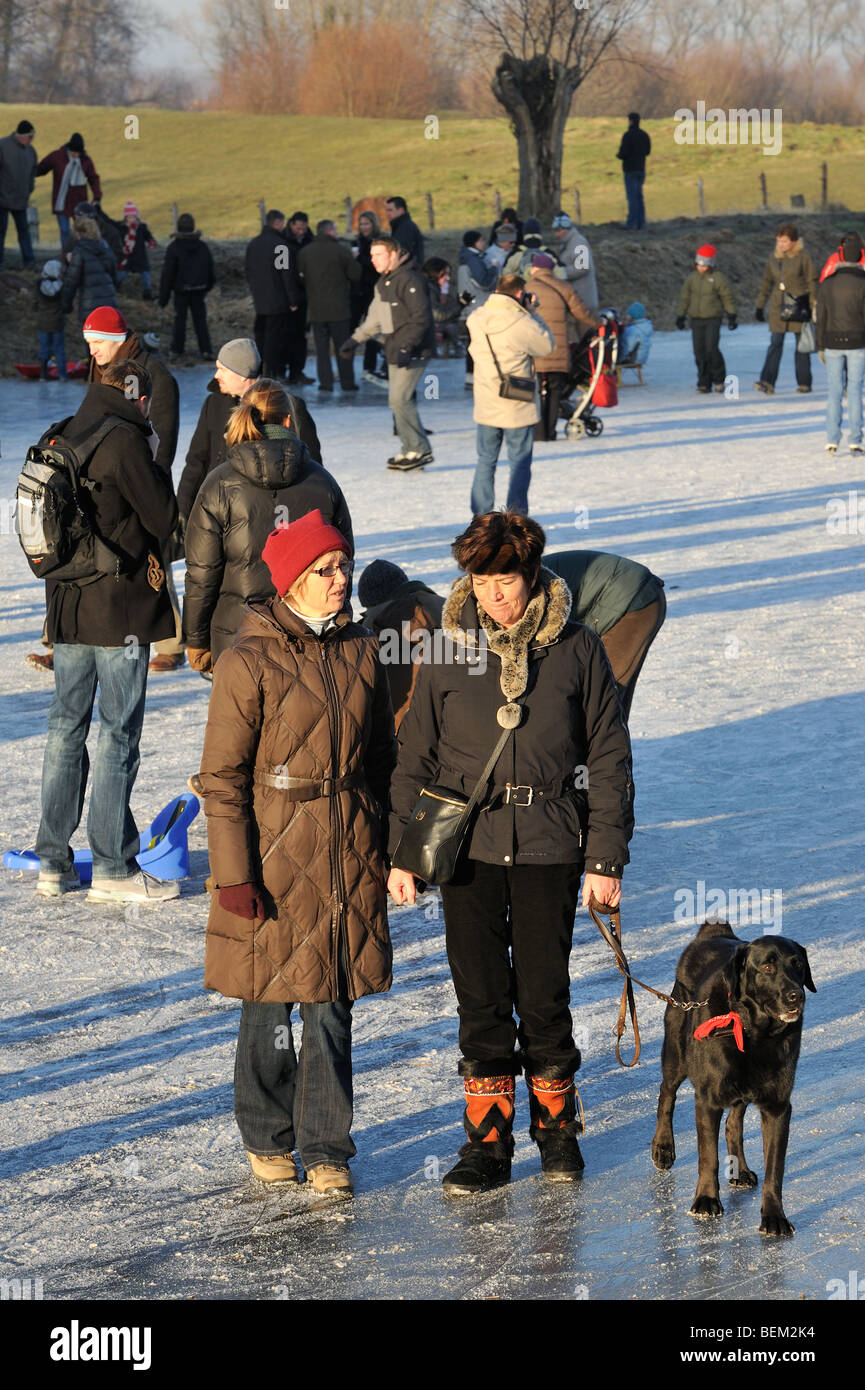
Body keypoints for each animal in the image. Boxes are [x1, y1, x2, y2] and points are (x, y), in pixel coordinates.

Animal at [653, 922, 817, 1239]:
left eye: (798, 965)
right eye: (767, 967)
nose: (796, 996)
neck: (755, 1031)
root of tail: (713, 932)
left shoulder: (778, 1107)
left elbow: (774, 1168)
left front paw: (774, 1216)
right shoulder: (707, 1100)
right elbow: (708, 1156)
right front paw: (706, 1200)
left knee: (733, 1123)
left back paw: (739, 1170)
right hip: (676, 1053)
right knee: (666, 1094)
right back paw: (663, 1147)